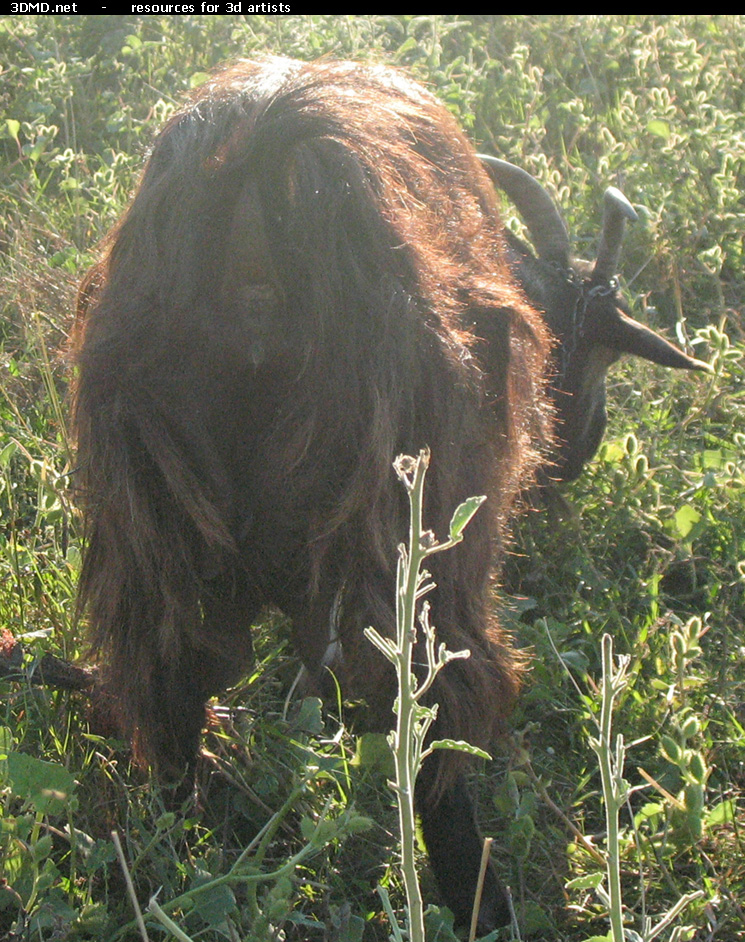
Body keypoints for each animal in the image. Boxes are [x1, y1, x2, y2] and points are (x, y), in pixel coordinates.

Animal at [74, 57, 552, 928]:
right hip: (411, 534)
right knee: (427, 712)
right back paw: (477, 901)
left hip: (151, 510)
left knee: (170, 682)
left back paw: (184, 855)